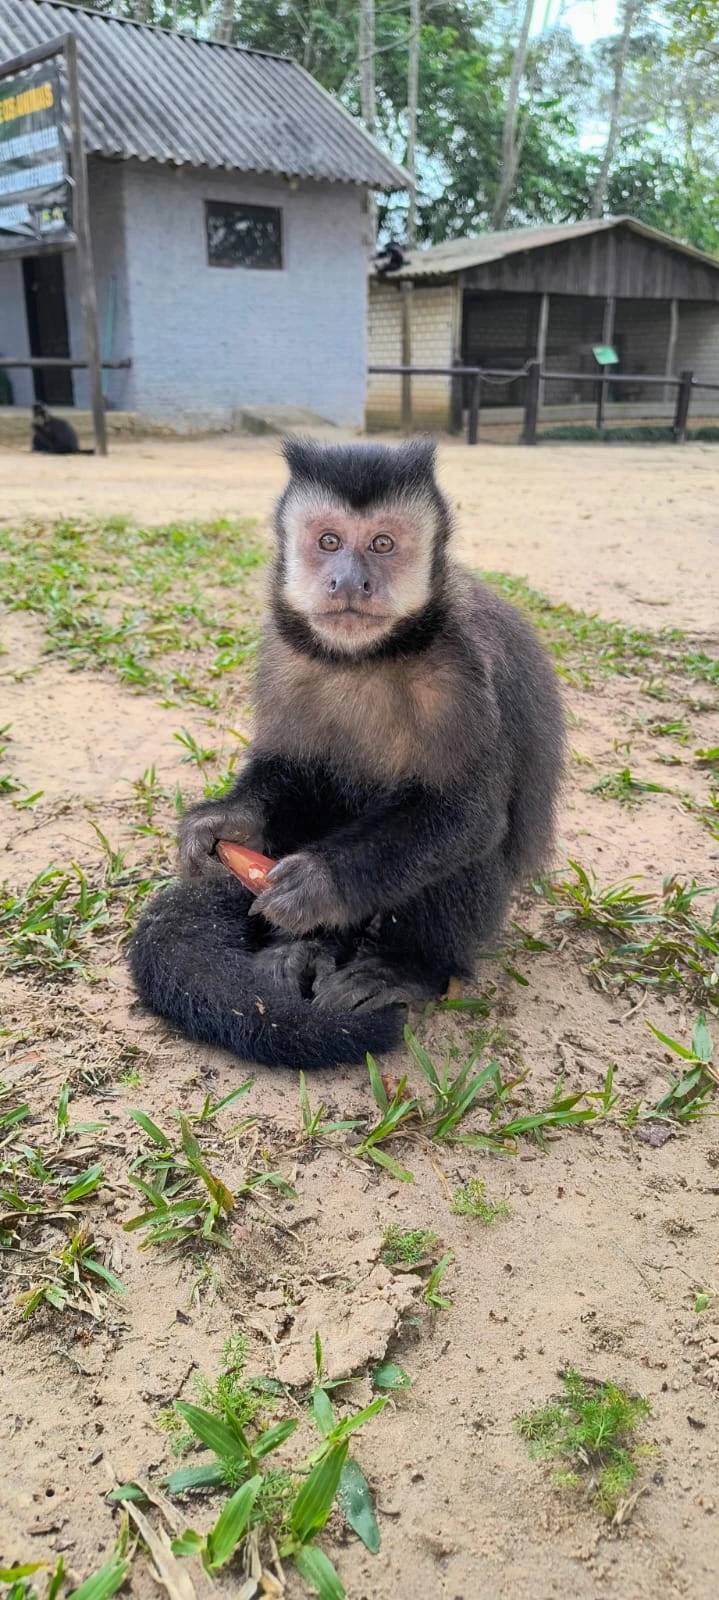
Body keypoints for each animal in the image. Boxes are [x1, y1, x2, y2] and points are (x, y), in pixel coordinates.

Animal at [128, 438, 565, 1071]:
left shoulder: (462, 670)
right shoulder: (281, 656)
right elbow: (286, 769)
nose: (349, 581)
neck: (366, 658)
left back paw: (407, 968)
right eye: (330, 541)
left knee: (466, 852)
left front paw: (320, 883)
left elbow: (467, 814)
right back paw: (304, 949)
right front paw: (222, 823)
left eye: (382, 544)